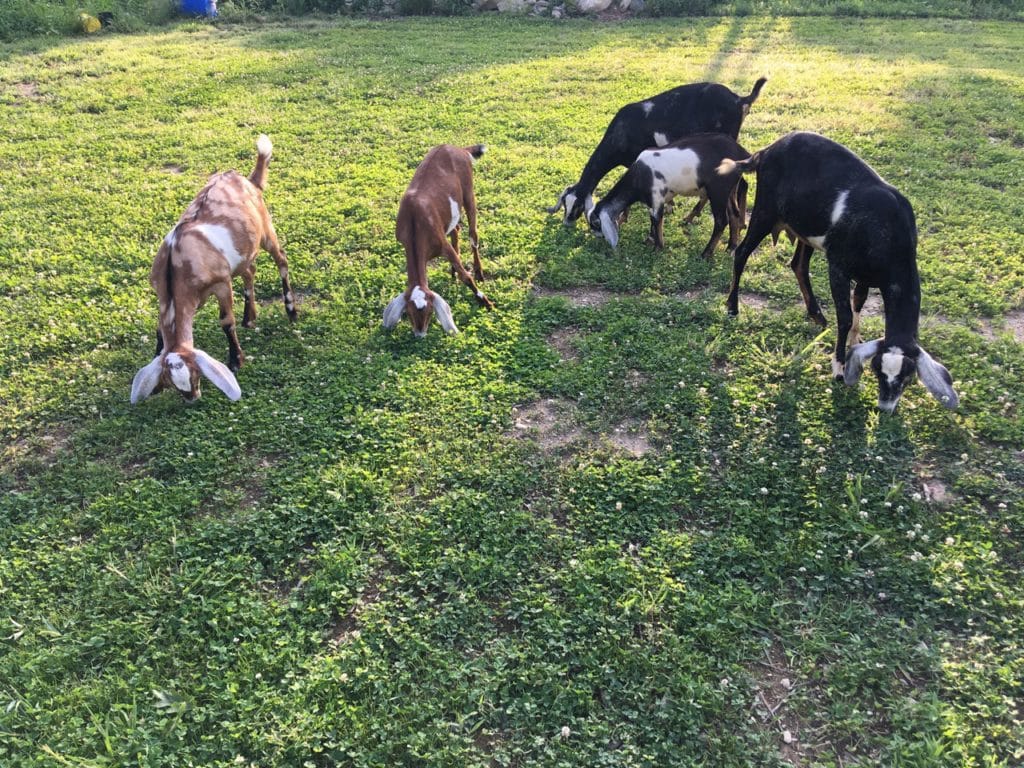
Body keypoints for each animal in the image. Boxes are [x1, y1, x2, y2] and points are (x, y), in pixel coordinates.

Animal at [130, 135, 294, 405]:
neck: (176, 265)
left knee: (281, 259)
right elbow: (159, 329)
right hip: (241, 255)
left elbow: (226, 321)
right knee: (250, 271)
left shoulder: (221, 283)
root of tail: (246, 180)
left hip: (266, 230)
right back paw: (250, 317)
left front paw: (236, 361)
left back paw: (291, 310)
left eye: (196, 372)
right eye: (171, 381)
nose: (193, 397)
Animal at [385, 144, 495, 335]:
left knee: (473, 235)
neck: (414, 224)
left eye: (430, 311)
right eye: (408, 313)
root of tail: (459, 148)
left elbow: (466, 277)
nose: (420, 334)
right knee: (456, 229)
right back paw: (452, 271)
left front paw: (486, 302)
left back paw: (479, 272)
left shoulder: (442, 244)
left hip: (468, 192)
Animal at [548, 75, 765, 225]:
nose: (567, 223)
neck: (621, 132)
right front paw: (669, 206)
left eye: (576, 205)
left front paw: (623, 217)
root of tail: (739, 100)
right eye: (564, 204)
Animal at [585, 135, 753, 259]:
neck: (639, 176)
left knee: (721, 221)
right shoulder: (654, 201)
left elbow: (656, 219)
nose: (597, 236)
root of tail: (741, 152)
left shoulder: (657, 197)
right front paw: (650, 240)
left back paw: (706, 254)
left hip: (718, 190)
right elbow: (653, 220)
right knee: (734, 214)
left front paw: (657, 248)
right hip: (730, 189)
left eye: (595, 223)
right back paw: (731, 247)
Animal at [716, 131, 954, 415]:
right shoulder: (838, 268)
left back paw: (816, 314)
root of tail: (766, 151)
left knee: (798, 264)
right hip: (765, 210)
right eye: (879, 372)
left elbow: (859, 303)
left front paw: (855, 342)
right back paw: (732, 306)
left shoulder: (865, 276)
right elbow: (845, 316)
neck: (889, 232)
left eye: (907, 379)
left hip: (803, 227)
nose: (885, 407)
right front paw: (839, 367)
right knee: (742, 252)